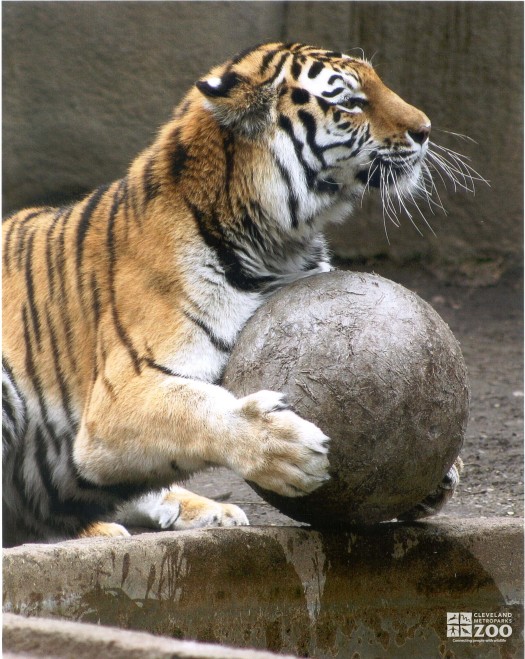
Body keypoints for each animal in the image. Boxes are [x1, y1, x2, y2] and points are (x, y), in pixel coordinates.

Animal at [4, 41, 464, 548]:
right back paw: (102, 532)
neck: (280, 245)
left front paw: (440, 474)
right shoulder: (116, 402)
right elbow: (195, 410)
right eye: (349, 101)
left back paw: (211, 513)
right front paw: (284, 445)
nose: (425, 129)